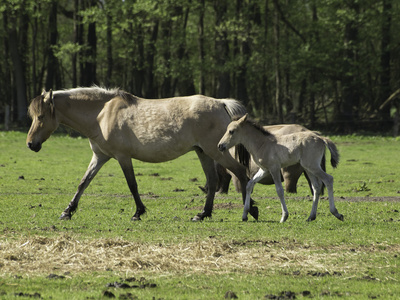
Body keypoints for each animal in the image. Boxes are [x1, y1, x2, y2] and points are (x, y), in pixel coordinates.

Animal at [27, 86, 260, 220]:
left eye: (41, 116)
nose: (31, 144)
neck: (102, 114)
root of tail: (221, 103)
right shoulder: (100, 157)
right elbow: (83, 183)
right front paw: (67, 211)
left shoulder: (122, 157)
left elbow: (132, 185)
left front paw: (138, 212)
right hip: (203, 152)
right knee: (212, 182)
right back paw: (202, 214)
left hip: (216, 152)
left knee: (240, 172)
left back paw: (250, 210)